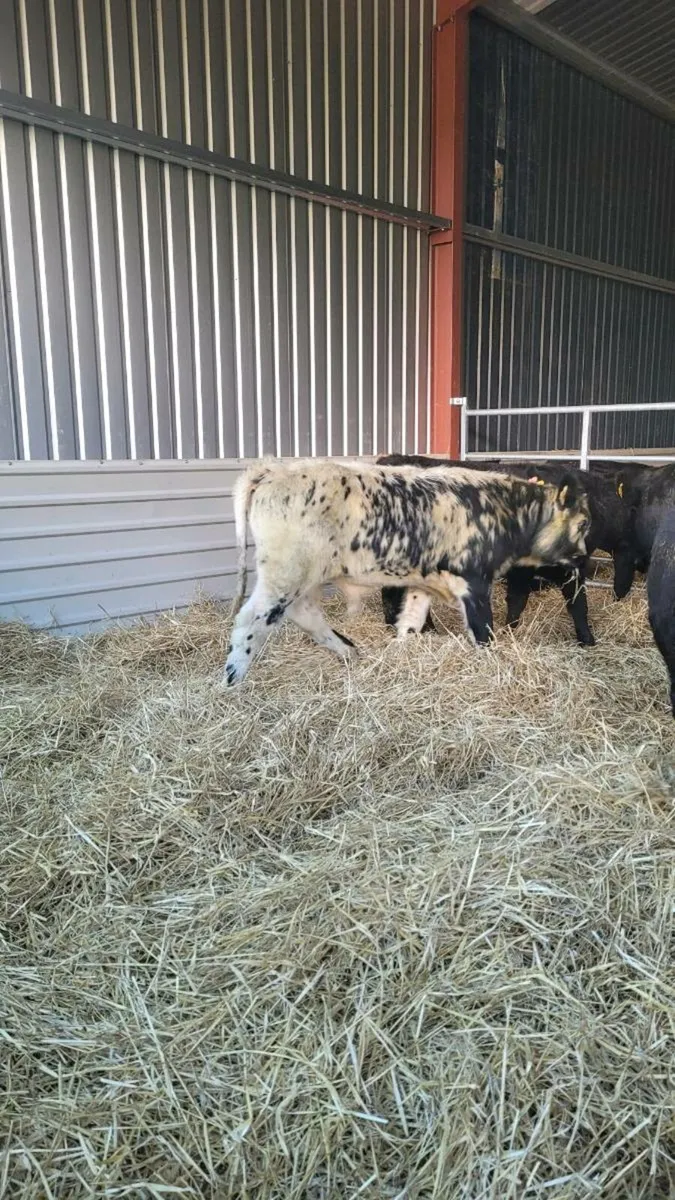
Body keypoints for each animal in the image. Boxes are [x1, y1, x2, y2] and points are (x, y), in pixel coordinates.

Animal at [223, 458, 590, 685]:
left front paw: (400, 652)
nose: (584, 558)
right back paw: (232, 679)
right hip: (285, 574)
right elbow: (483, 632)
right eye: (584, 523)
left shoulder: (423, 584)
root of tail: (270, 469)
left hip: (304, 578)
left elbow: (410, 622)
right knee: (251, 621)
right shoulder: (474, 581)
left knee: (306, 614)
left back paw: (348, 652)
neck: (504, 509)